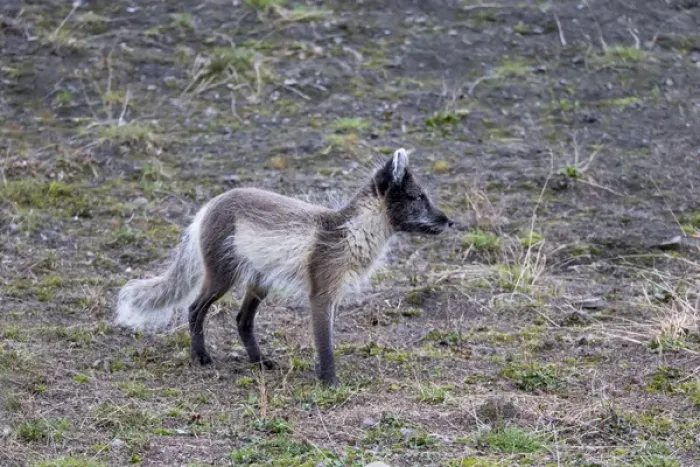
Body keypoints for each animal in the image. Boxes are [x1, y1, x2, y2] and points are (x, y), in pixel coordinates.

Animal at [114, 148, 453, 386]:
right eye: (418, 197)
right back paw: (201, 357)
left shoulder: (333, 294)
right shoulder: (321, 294)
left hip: (259, 283)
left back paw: (259, 362)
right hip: (222, 277)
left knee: (242, 320)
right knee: (195, 308)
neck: (351, 232)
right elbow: (325, 343)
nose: (450, 221)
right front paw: (330, 382)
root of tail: (208, 206)